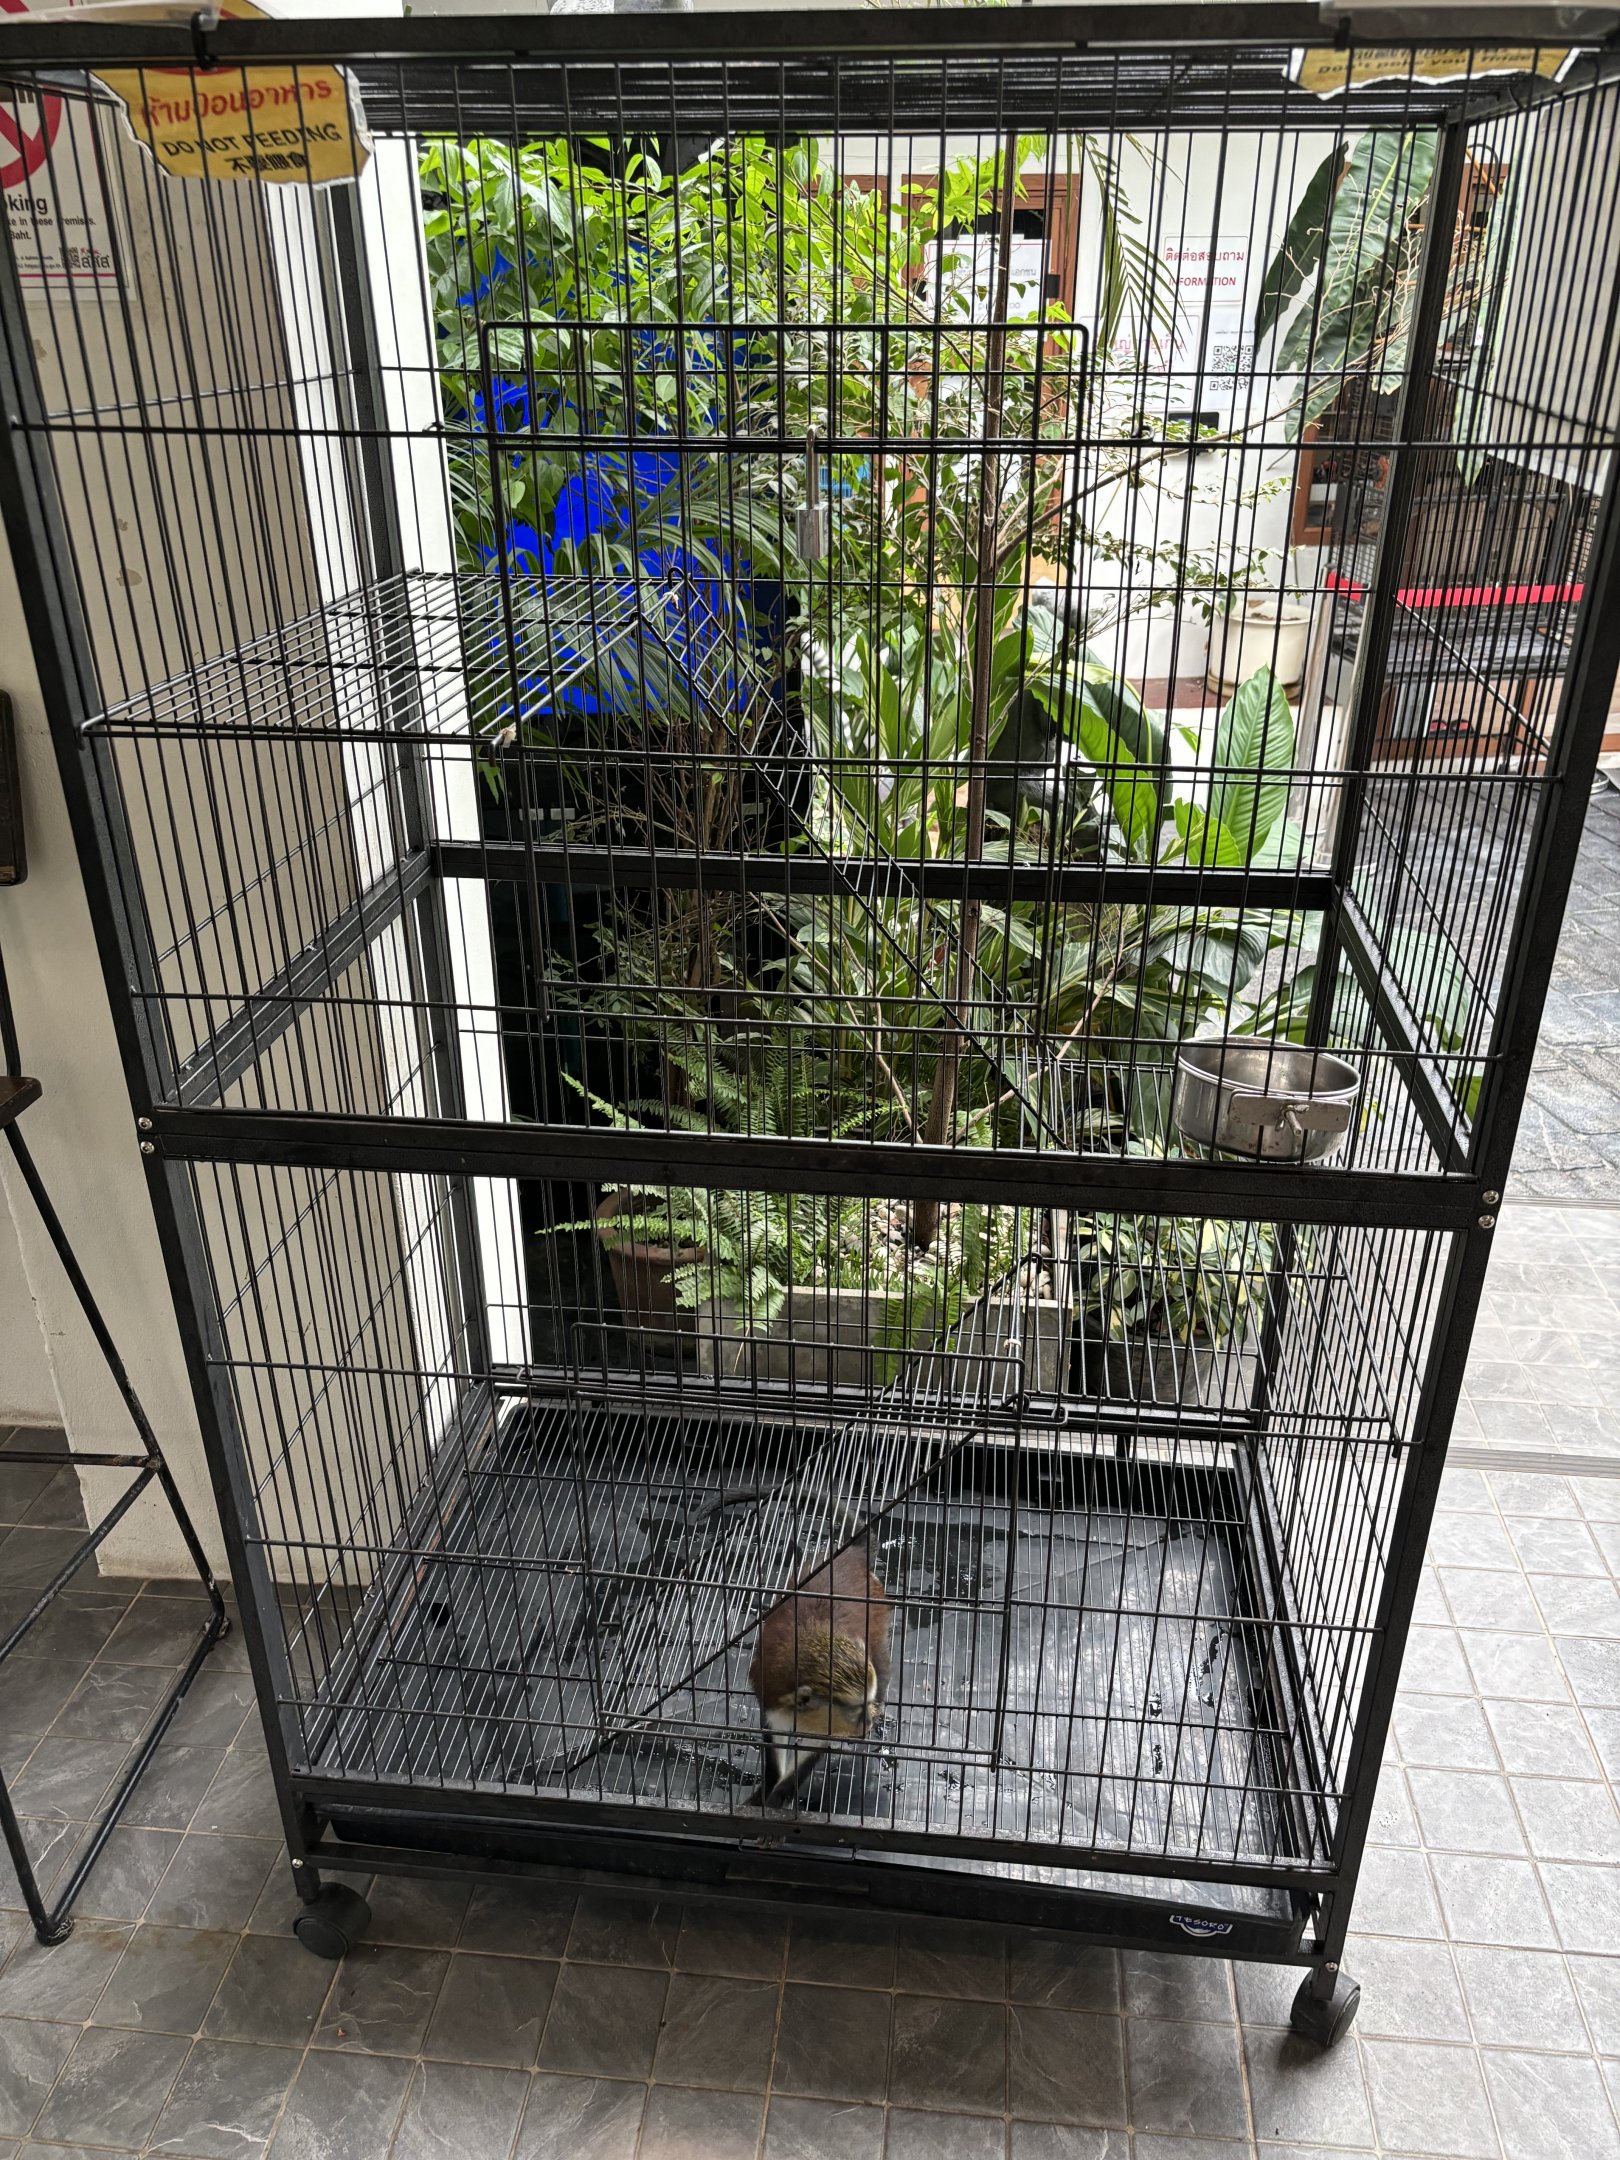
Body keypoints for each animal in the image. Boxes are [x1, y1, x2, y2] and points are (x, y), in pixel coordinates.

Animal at [747, 1544, 891, 1805]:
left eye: (867, 1703)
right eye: (854, 1709)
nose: (867, 1722)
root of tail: (851, 1554)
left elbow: (812, 1751)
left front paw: (780, 1795)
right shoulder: (771, 1694)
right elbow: (774, 1737)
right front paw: (766, 1791)